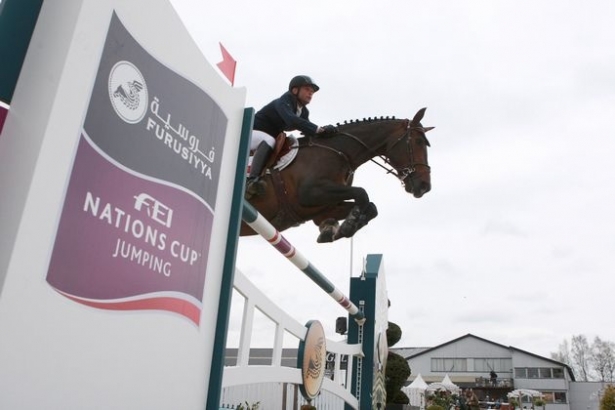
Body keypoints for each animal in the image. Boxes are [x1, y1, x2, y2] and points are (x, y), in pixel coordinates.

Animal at [239, 106, 434, 243]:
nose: (425, 186)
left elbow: (371, 207)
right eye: (418, 142)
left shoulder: (324, 207)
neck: (339, 152)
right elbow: (362, 193)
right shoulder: (310, 194)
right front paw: (347, 226)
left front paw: (336, 229)